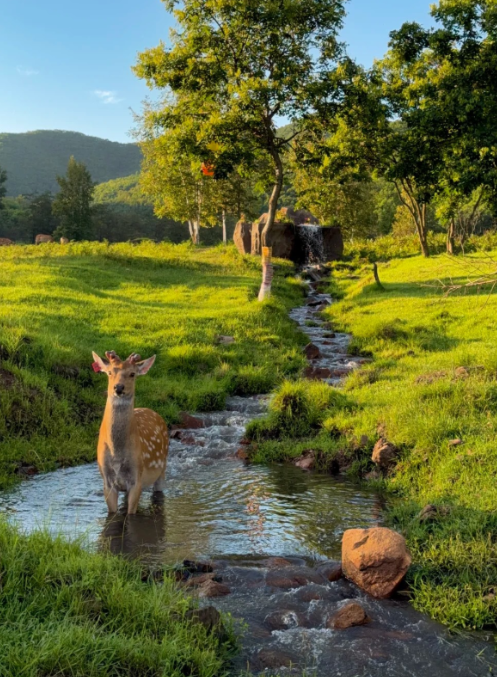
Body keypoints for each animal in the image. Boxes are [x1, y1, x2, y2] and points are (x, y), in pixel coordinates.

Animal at [92, 350, 169, 515]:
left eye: (132, 374)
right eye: (109, 372)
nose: (119, 388)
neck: (117, 455)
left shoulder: (136, 477)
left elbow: (131, 514)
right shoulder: (107, 481)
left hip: (162, 468)